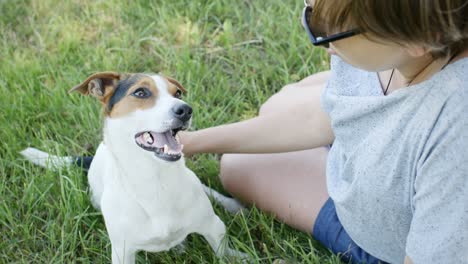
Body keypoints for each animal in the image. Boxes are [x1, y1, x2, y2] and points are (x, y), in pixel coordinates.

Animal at [21, 71, 249, 262]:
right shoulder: (122, 250)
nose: (185, 109)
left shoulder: (214, 226)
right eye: (141, 92)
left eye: (177, 93)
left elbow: (222, 252)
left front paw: (239, 257)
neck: (155, 180)